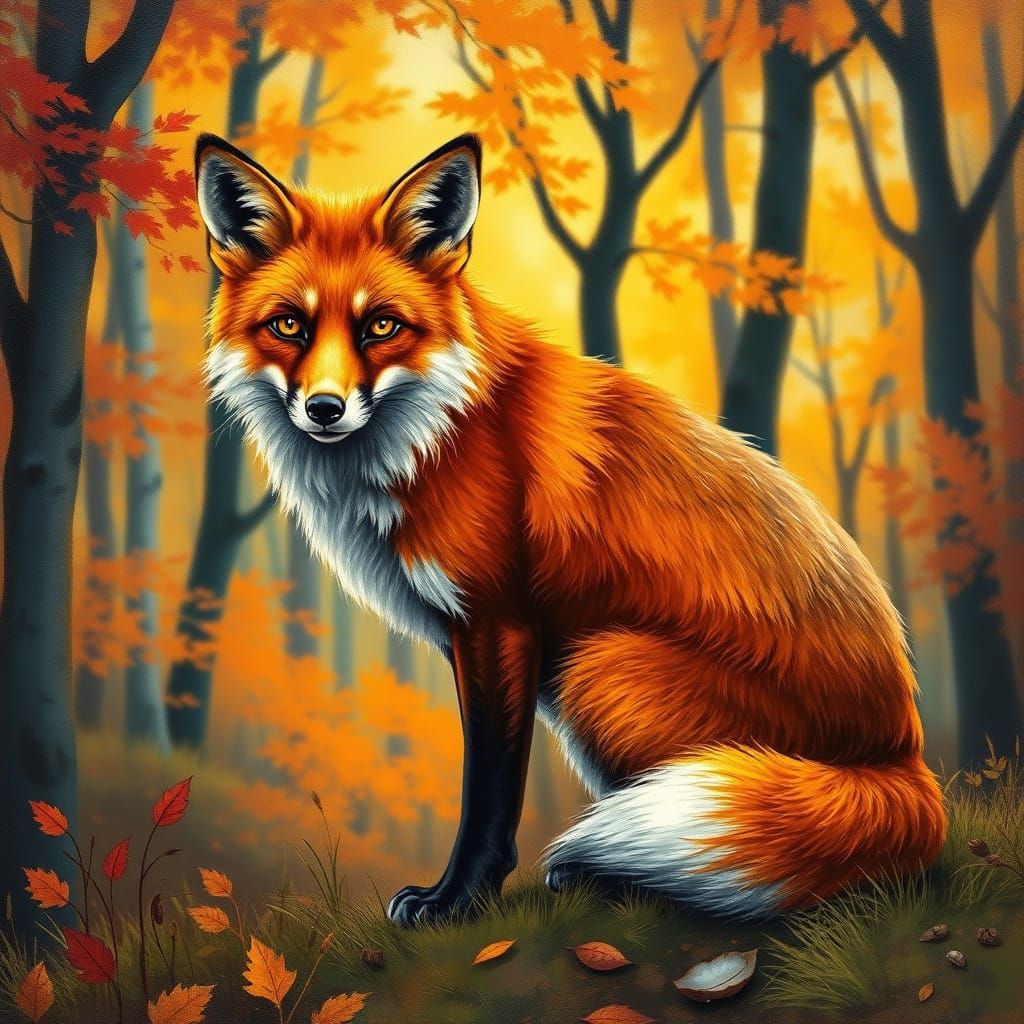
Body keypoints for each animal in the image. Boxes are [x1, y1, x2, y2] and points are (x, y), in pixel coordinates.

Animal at [194, 131, 947, 927]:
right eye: (290, 325)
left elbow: (490, 791)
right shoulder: (470, 636)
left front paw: (458, 901)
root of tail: (904, 753)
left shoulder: (498, 622)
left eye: (381, 326)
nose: (325, 409)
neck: (437, 432)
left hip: (599, 667)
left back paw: (619, 878)